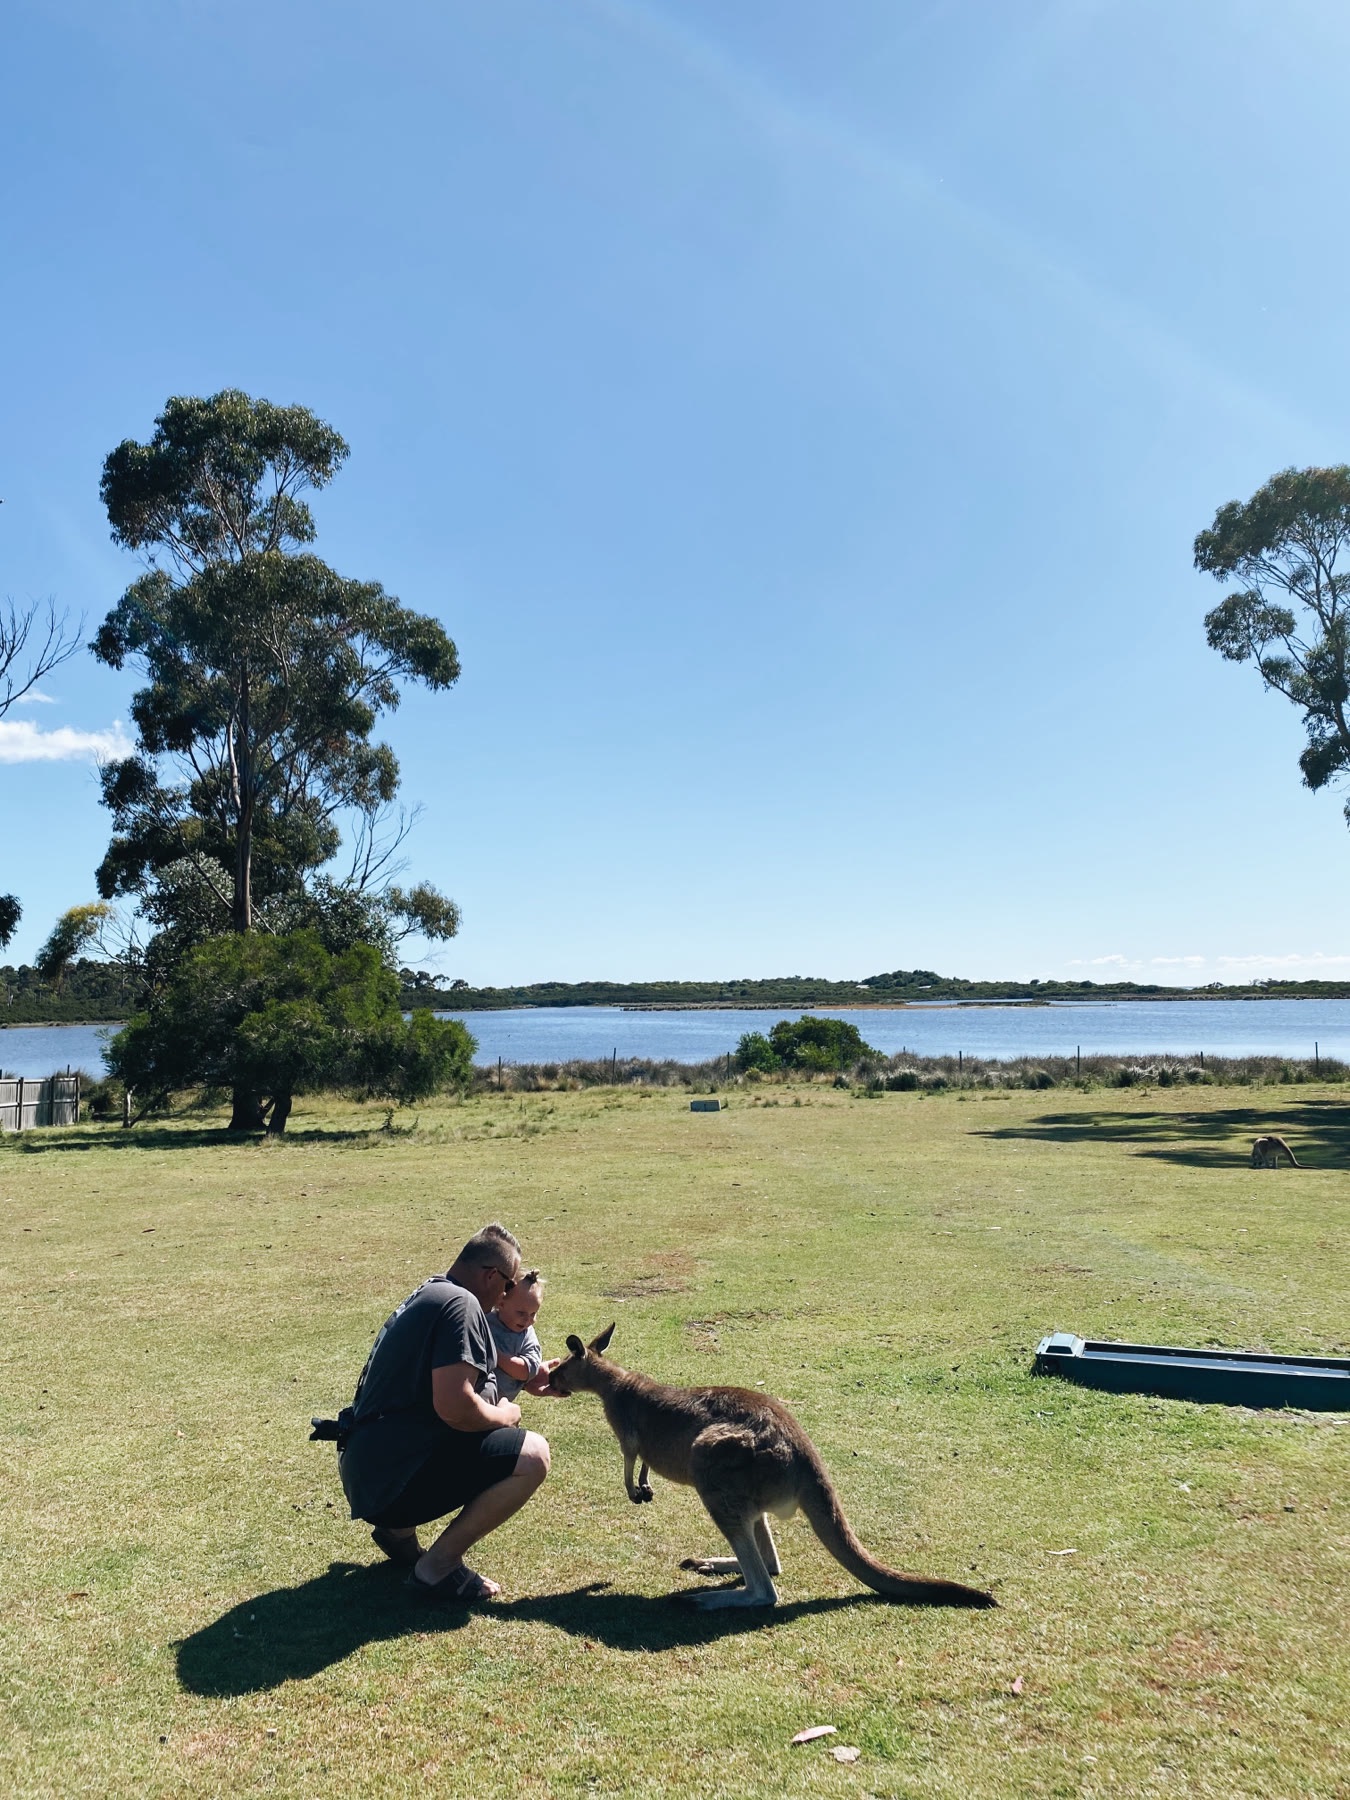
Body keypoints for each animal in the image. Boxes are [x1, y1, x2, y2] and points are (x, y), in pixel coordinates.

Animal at [548, 1323, 995, 1611]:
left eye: (560, 1369)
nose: (550, 1382)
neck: (614, 1382)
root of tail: (806, 1460)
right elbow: (640, 1463)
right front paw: (644, 1487)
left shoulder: (625, 1428)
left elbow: (628, 1457)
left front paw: (633, 1488)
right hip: (745, 1487)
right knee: (769, 1561)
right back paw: (711, 1564)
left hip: (715, 1459)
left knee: (765, 1589)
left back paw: (706, 1600)